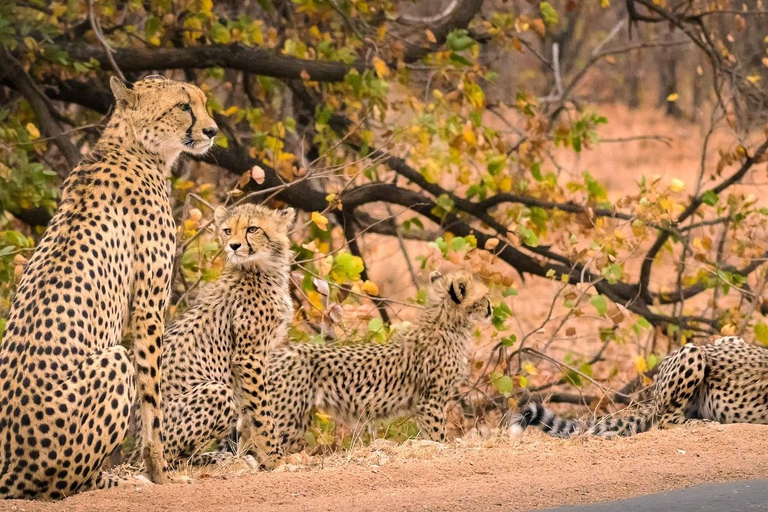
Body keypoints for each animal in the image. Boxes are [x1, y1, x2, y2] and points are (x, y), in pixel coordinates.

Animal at [0, 76, 218, 500]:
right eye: (184, 106)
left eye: (203, 102)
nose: (213, 130)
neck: (133, 146)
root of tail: (8, 467)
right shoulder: (149, 305)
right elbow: (152, 400)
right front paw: (160, 473)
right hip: (114, 361)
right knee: (65, 484)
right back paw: (119, 480)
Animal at [159, 204, 294, 468]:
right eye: (227, 230)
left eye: (252, 229)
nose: (233, 245)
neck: (263, 267)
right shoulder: (248, 357)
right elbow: (262, 411)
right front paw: (274, 457)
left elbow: (248, 413)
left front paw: (253, 456)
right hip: (215, 392)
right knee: (171, 458)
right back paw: (215, 459)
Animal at [264, 272, 492, 452]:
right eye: (484, 297)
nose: (491, 307)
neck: (446, 323)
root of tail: (276, 353)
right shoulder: (430, 401)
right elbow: (438, 435)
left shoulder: (424, 404)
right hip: (285, 416)